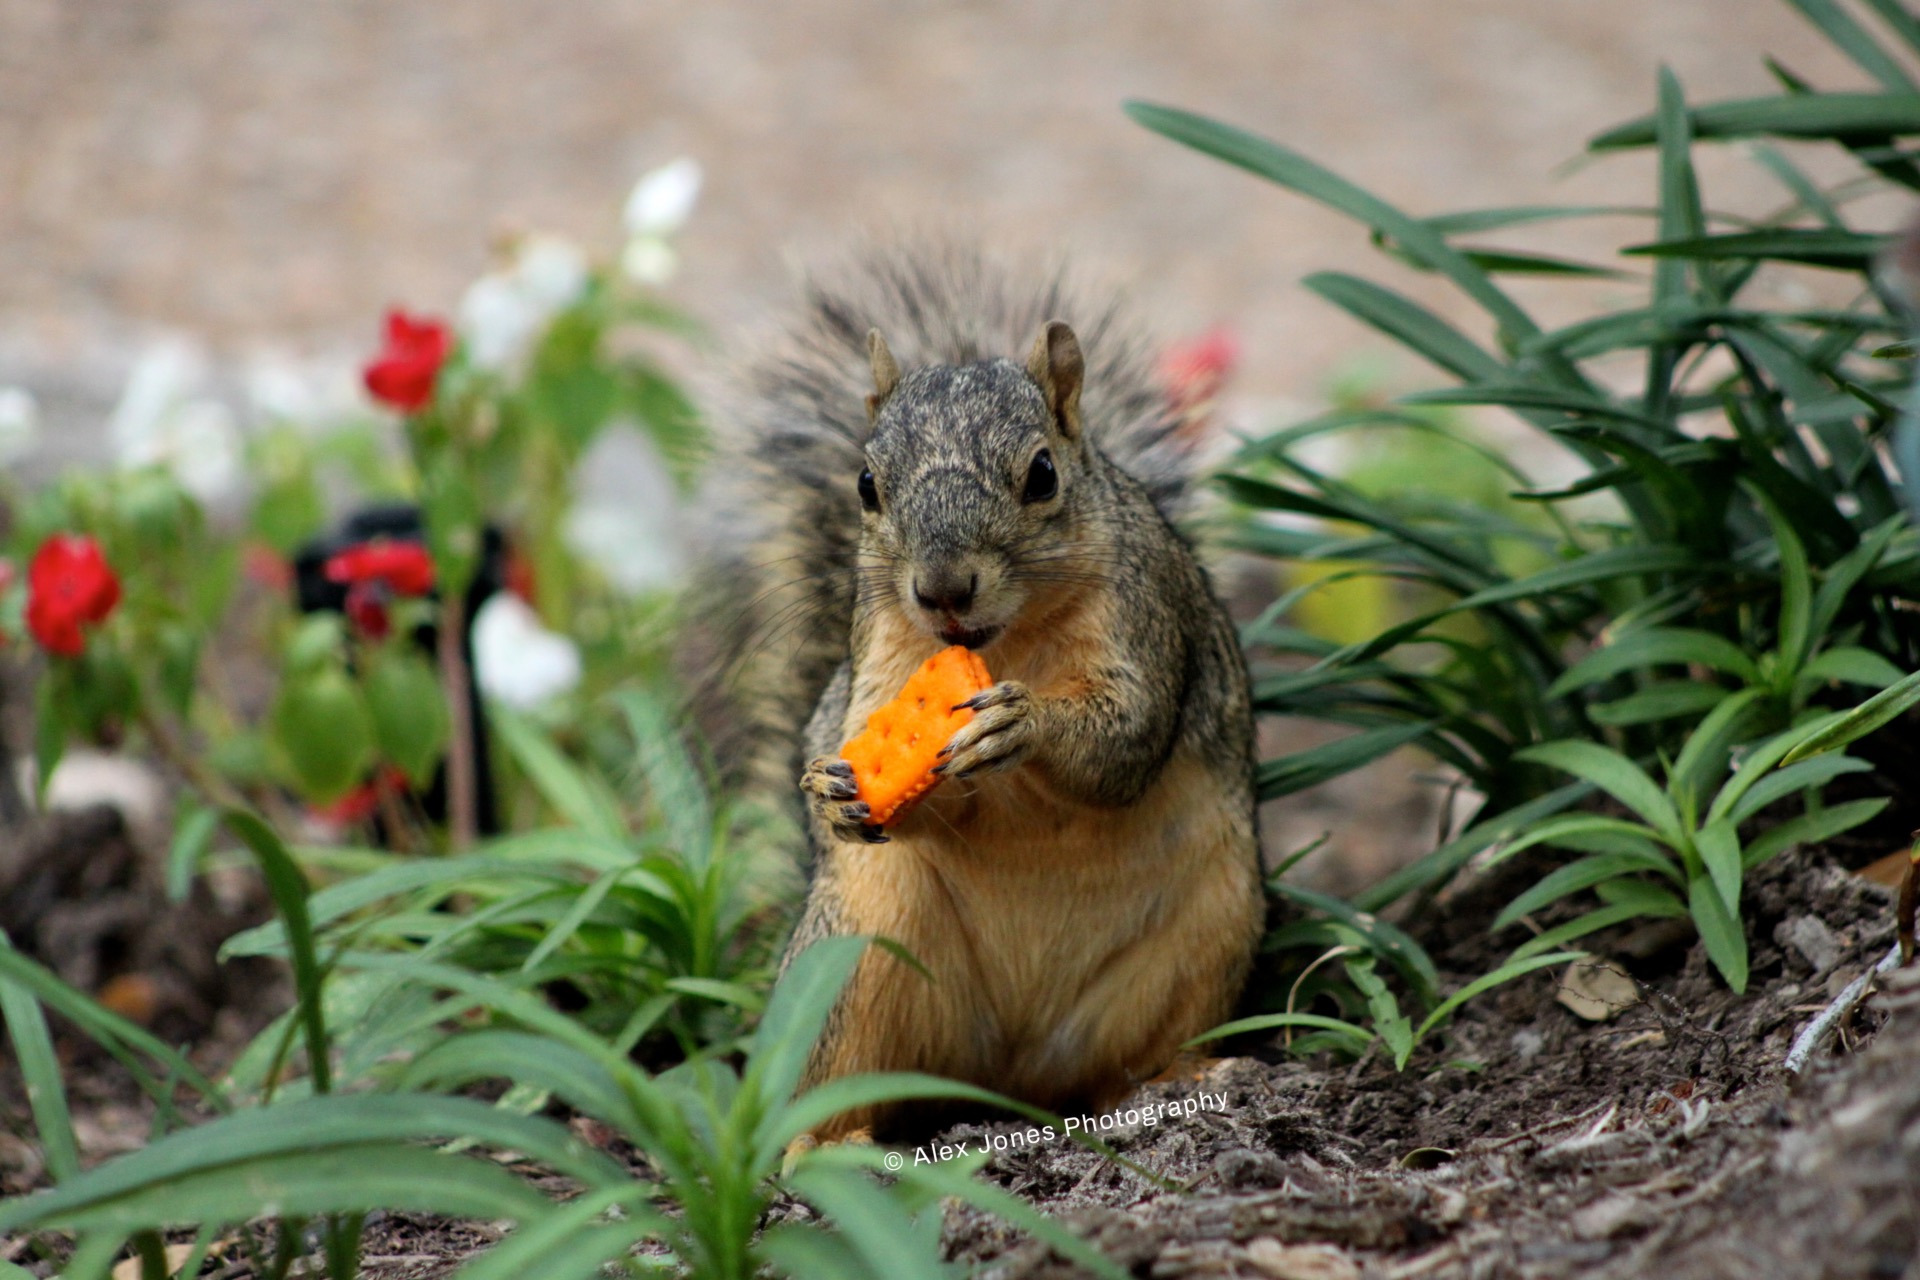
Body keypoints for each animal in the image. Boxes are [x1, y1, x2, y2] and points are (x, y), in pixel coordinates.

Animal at [687, 244, 1262, 1140]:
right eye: (865, 484)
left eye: (1042, 474)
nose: (943, 589)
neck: (1003, 642)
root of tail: (1002, 1081)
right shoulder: (881, 658)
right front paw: (829, 789)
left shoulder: (1145, 616)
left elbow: (1126, 738)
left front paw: (1023, 726)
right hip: (855, 958)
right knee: (842, 1083)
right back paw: (823, 1144)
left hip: (1206, 942)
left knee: (1127, 1065)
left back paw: (1187, 1078)